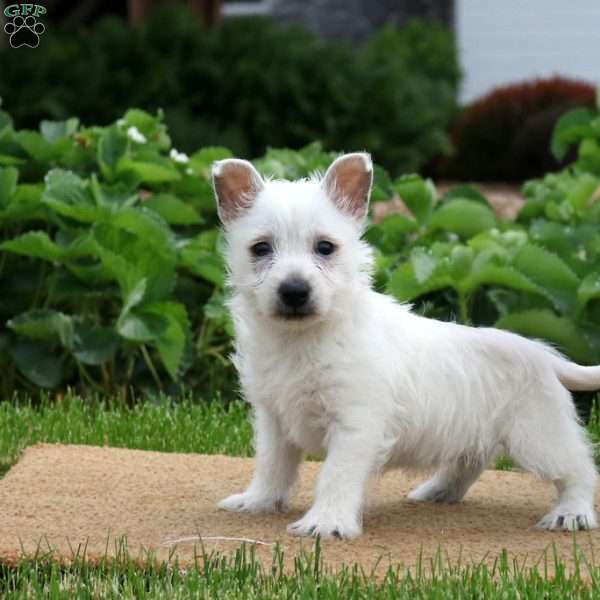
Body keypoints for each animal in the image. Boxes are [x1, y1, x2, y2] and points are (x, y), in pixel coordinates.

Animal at [210, 154, 596, 540]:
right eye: (261, 248)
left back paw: (572, 513)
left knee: (579, 468)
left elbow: (335, 473)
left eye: (325, 247)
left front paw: (326, 522)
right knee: (468, 465)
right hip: (475, 432)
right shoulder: (274, 420)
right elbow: (271, 465)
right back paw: (437, 492)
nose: (294, 291)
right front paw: (257, 501)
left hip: (539, 436)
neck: (301, 339)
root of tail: (542, 354)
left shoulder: (354, 423)